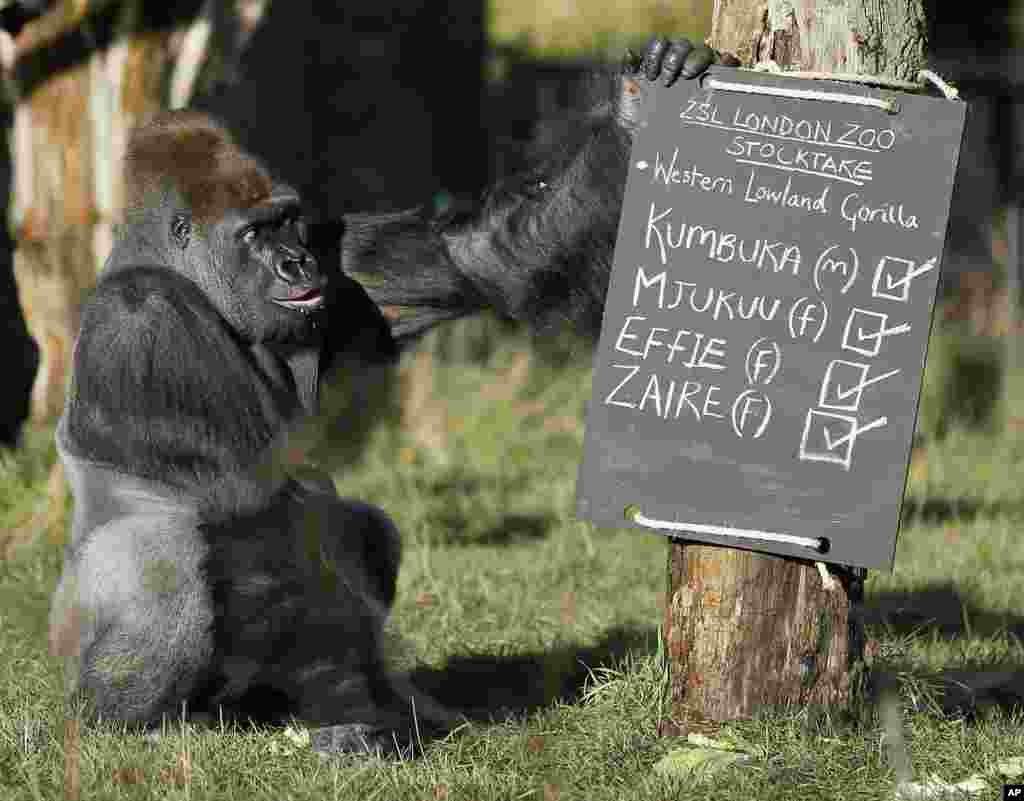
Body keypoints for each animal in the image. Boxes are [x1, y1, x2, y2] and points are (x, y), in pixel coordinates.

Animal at [48, 112, 432, 757]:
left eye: (285, 221)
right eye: (251, 234)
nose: (298, 263)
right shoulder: (143, 317)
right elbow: (259, 498)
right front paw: (363, 702)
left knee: (365, 527)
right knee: (162, 557)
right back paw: (130, 726)